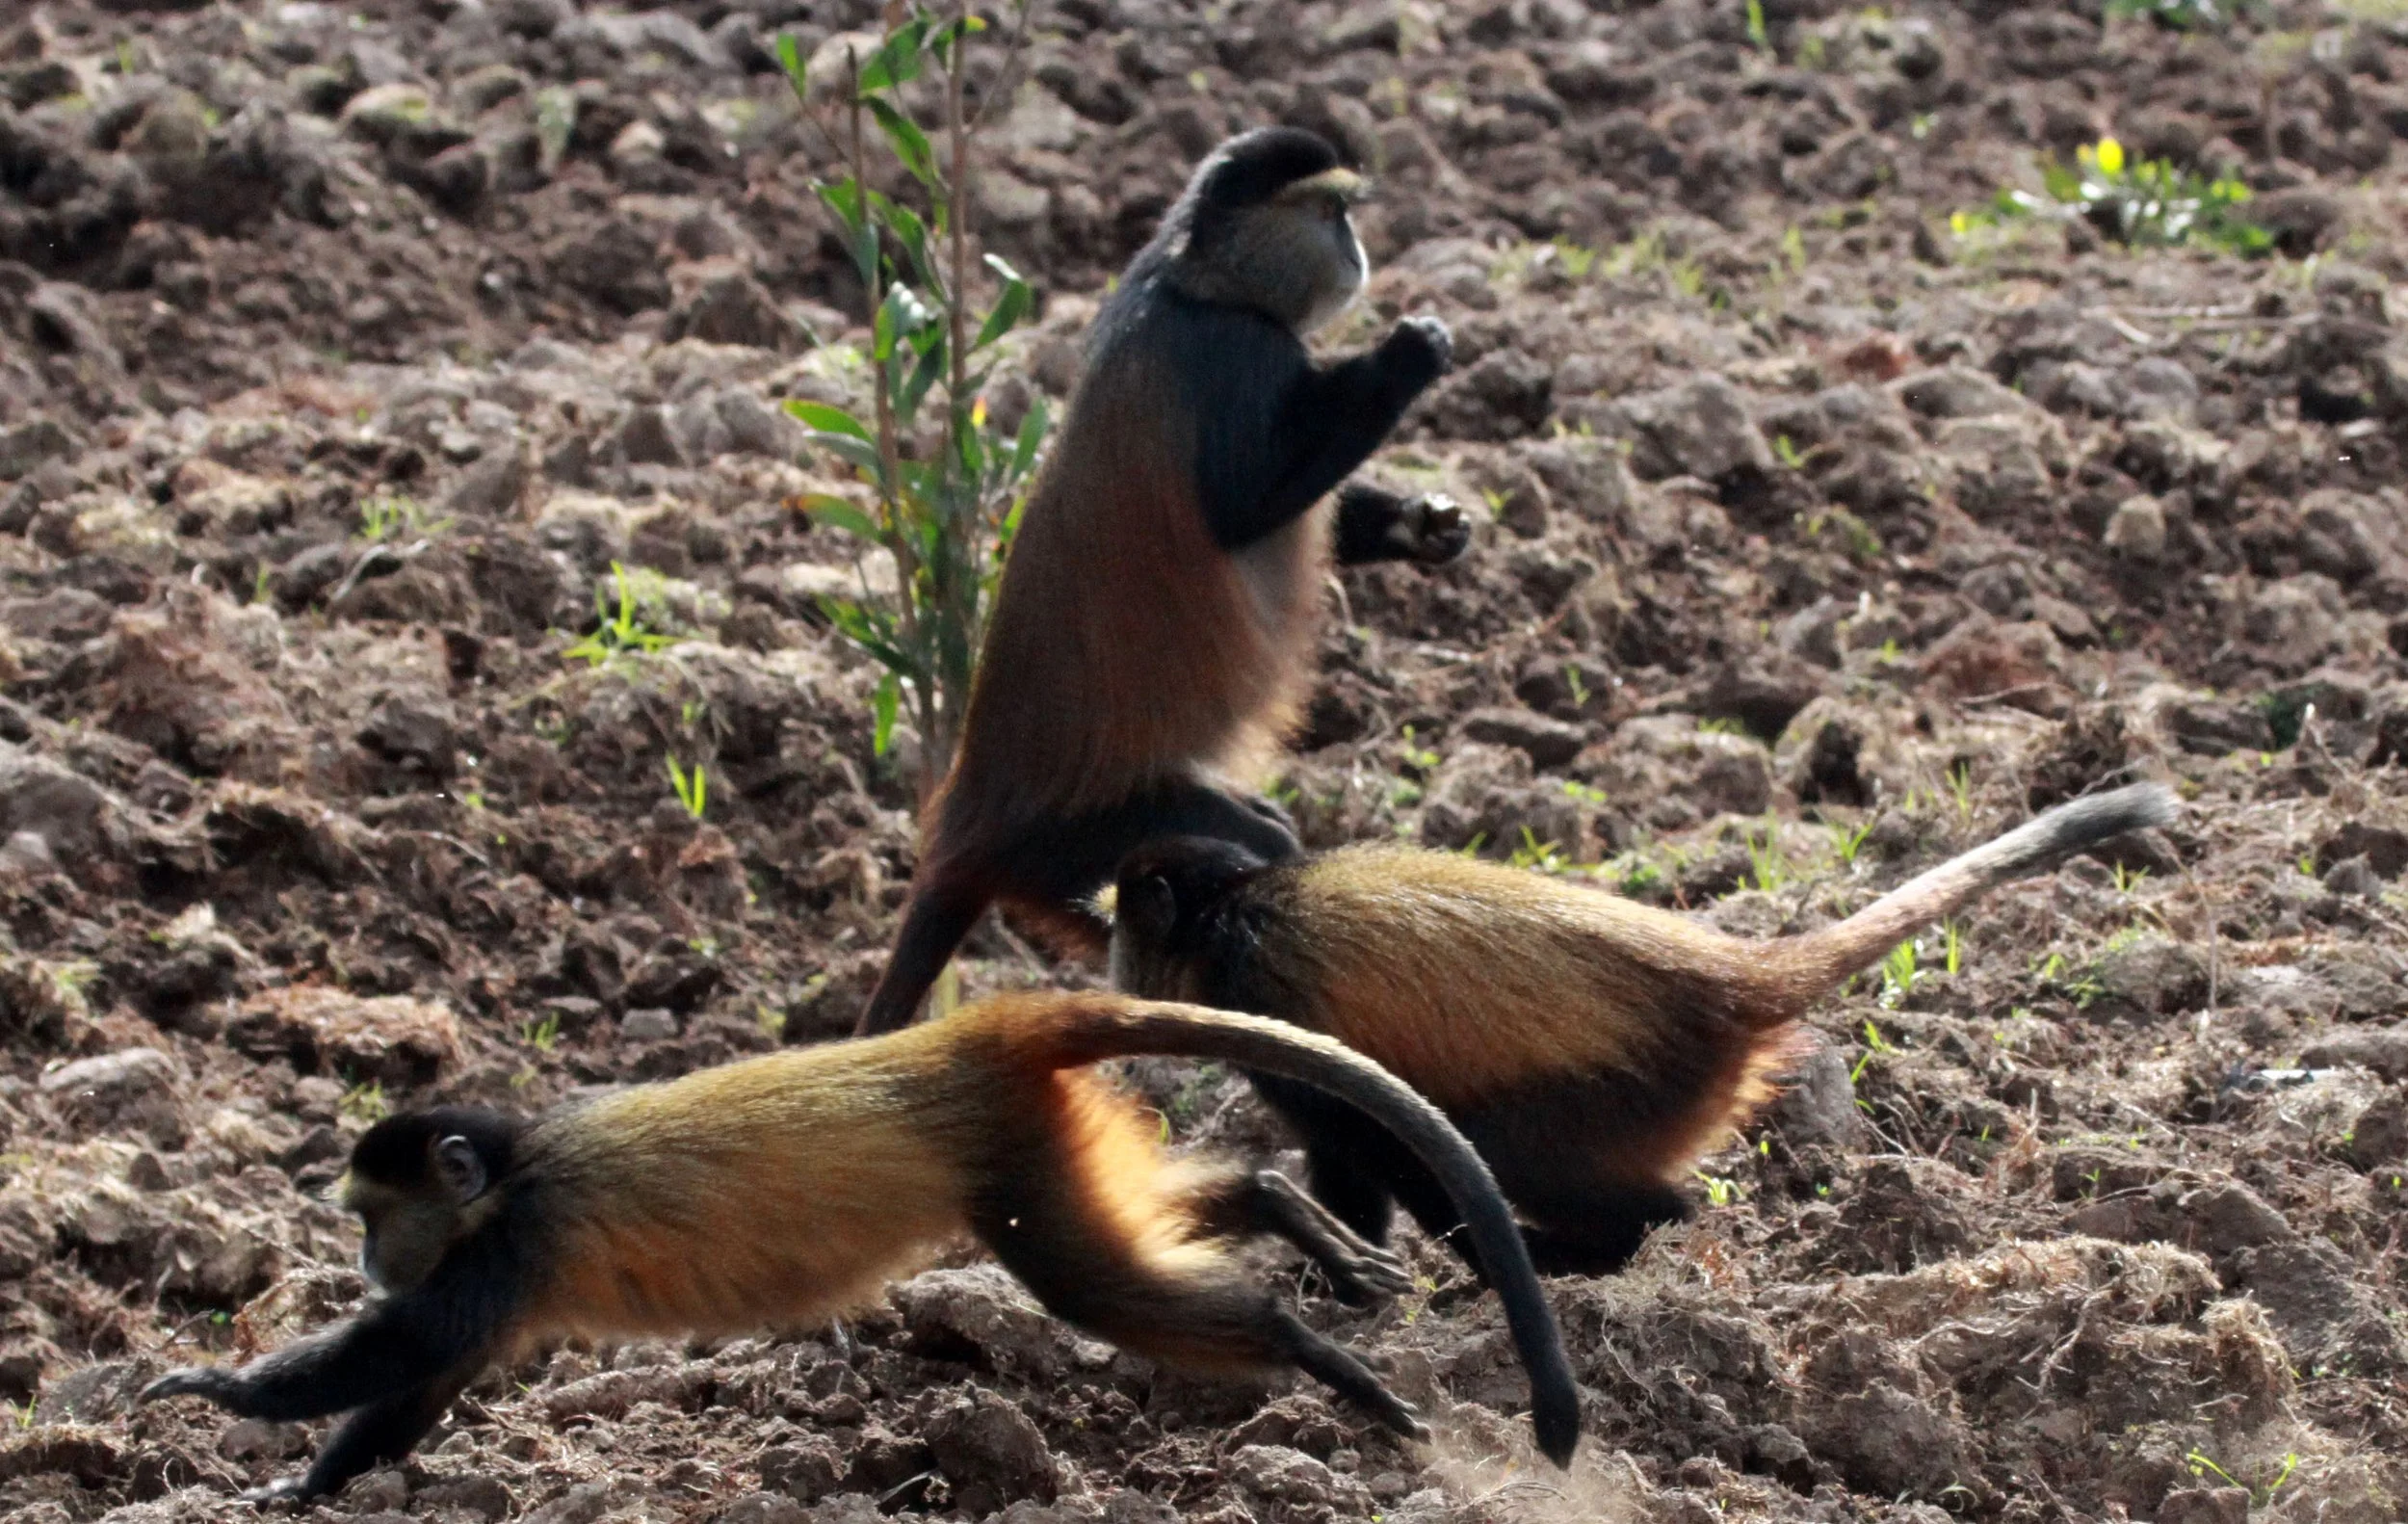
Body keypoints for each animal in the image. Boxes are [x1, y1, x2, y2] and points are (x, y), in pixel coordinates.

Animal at [143, 992, 1579, 1503]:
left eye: (370, 1218)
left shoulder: (503, 1251)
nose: (368, 1260)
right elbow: (413, 1390)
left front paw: (215, 1393)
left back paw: (1306, 1348)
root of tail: (974, 1032)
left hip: (1008, 1142)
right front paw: (299, 1491)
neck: (507, 1177)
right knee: (1145, 1219)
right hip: (1037, 1134)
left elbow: (400, 1355)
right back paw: (1287, 1216)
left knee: (1083, 1277)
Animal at [856, 126, 1467, 1038]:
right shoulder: (1237, 354)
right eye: (1333, 213)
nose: (1359, 251)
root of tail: (966, 826)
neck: (1194, 283)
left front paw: (1422, 525)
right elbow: (1252, 502)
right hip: (1083, 838)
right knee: (1249, 848)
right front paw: (1408, 351)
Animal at [1107, 783, 2178, 1278]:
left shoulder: (1263, 998)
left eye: (1126, 927)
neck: (1235, 910)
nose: (1110, 966)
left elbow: (1380, 1147)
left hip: (1628, 1089)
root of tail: (1721, 979)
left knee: (1547, 1166)